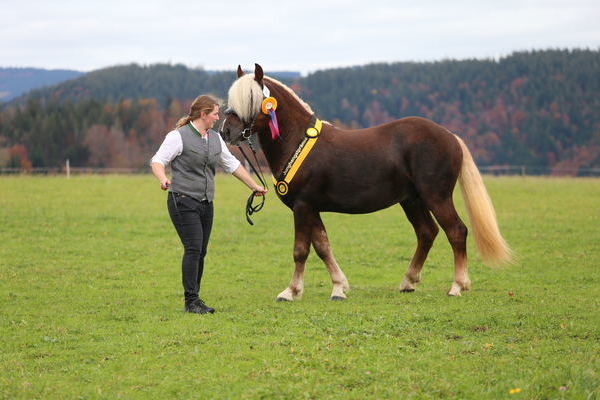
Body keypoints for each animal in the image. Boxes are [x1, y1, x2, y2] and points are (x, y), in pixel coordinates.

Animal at [220, 64, 510, 300]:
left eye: (251, 98)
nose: (226, 131)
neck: (298, 141)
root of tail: (450, 136)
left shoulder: (303, 206)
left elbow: (301, 250)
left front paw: (291, 291)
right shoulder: (312, 208)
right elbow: (323, 246)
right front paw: (339, 287)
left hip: (436, 196)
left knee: (456, 232)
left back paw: (457, 286)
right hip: (412, 200)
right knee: (427, 232)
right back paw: (408, 282)